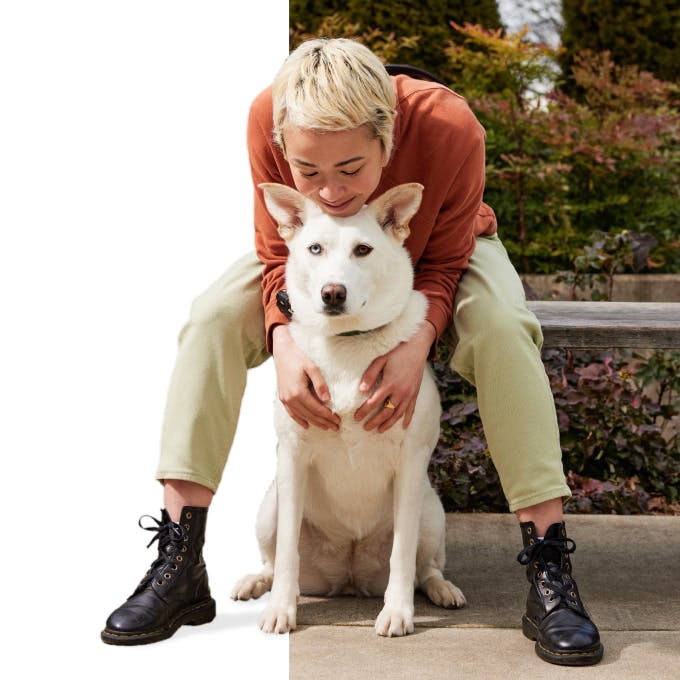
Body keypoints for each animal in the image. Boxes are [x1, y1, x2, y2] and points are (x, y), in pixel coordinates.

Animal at [231, 182, 464, 636]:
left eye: (363, 250)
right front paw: (281, 609)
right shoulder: (292, 458)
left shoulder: (410, 463)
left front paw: (398, 611)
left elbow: (402, 553)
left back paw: (441, 589)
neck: (347, 343)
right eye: (315, 248)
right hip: (270, 508)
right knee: (272, 558)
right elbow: (286, 553)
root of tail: (350, 578)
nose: (332, 293)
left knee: (425, 565)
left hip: (432, 512)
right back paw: (256, 582)